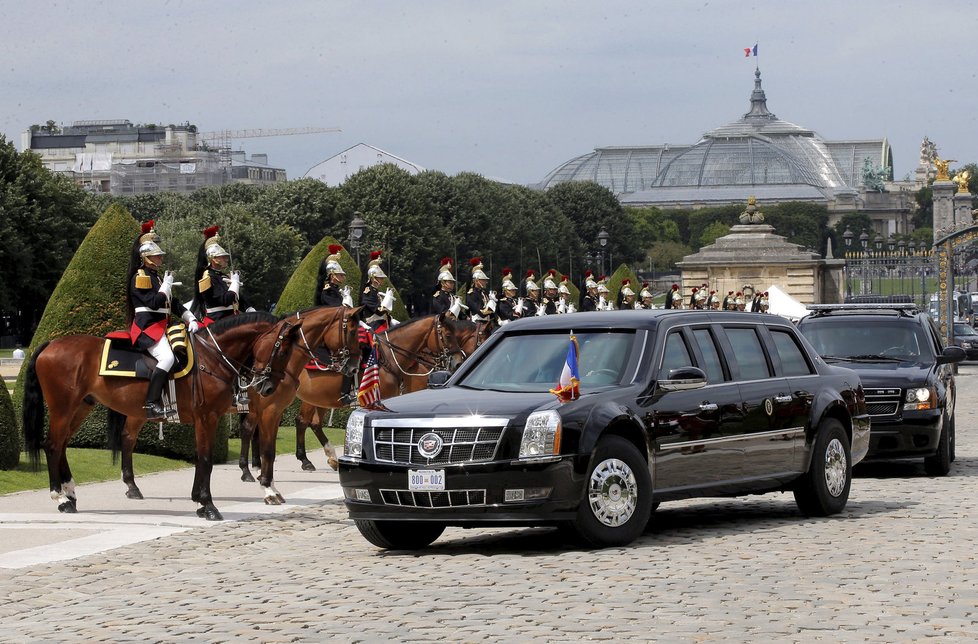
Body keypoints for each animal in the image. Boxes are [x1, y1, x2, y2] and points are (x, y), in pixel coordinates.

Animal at [240, 314, 476, 480]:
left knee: (306, 422)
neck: (391, 357)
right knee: (259, 426)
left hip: (314, 397)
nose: (459, 361)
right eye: (448, 335)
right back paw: (255, 467)